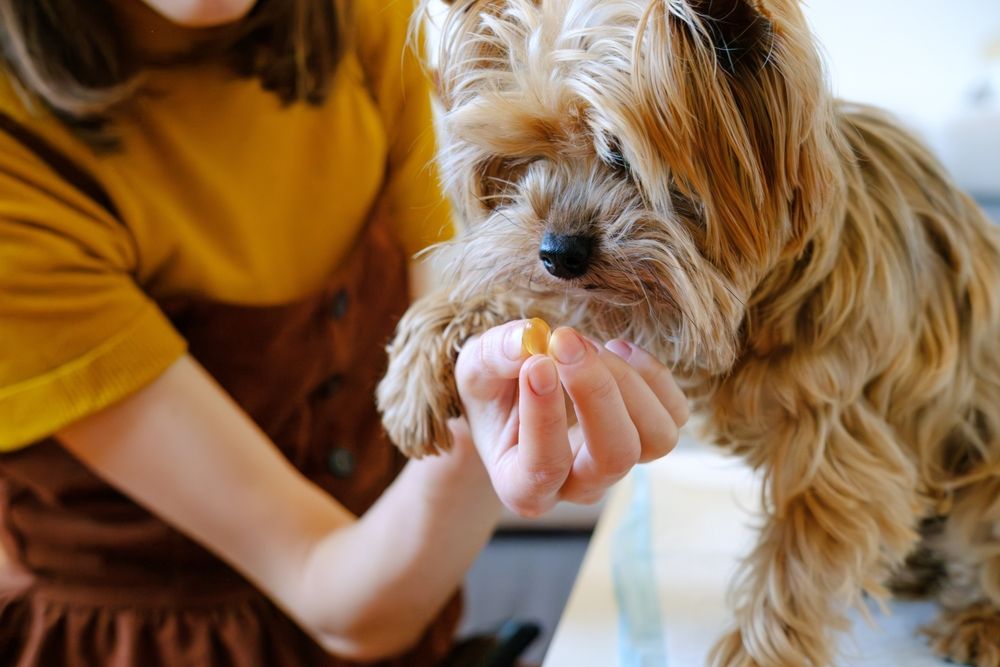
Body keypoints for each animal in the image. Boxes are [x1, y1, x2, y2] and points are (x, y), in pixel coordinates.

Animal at [376, 2, 1000, 664]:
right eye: (526, 156)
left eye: (621, 157)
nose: (558, 253)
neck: (759, 299)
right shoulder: (614, 305)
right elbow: (530, 303)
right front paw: (420, 361)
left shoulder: (842, 442)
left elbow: (792, 572)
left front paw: (756, 654)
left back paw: (977, 619)